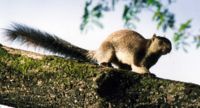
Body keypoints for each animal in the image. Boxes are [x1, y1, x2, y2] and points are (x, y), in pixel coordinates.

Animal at [3, 23, 171, 74]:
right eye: (161, 42)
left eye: (169, 42)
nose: (169, 48)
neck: (152, 54)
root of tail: (97, 51)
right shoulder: (138, 53)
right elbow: (138, 65)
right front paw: (146, 72)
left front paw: (149, 71)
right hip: (109, 50)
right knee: (105, 61)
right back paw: (106, 64)